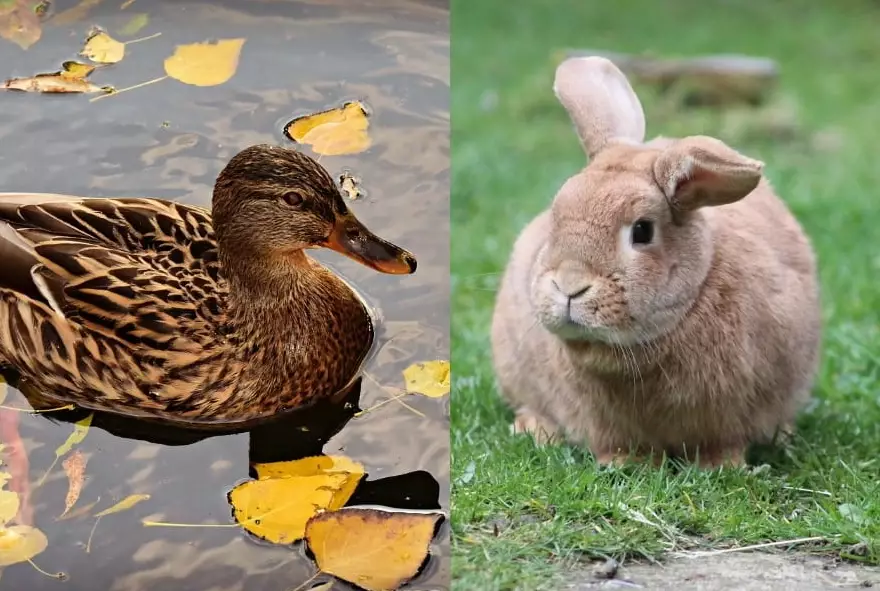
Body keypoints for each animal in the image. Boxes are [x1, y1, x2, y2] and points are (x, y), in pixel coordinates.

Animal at [490, 56, 821, 468]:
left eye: (642, 231)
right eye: (555, 217)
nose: (569, 286)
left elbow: (725, 443)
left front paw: (721, 466)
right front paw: (624, 464)